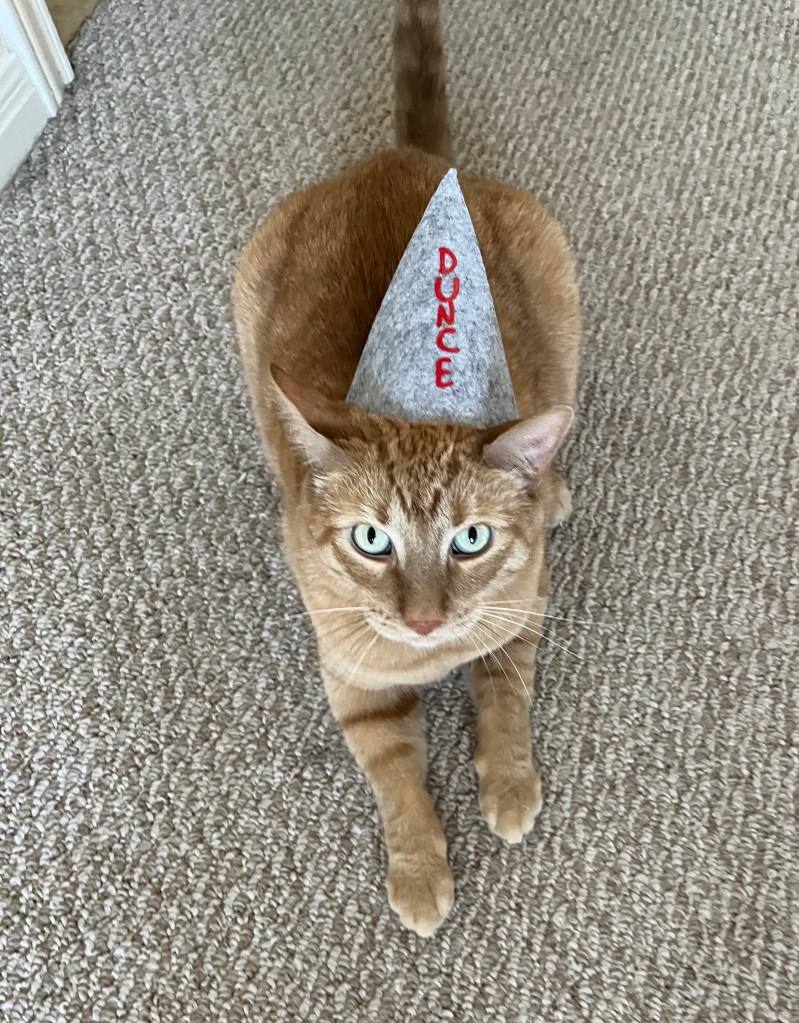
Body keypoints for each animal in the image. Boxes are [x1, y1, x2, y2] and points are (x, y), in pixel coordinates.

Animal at [232, 0, 581, 936]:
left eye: (470, 539)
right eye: (369, 539)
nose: (423, 620)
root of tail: (405, 158)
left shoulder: (523, 607)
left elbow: (503, 694)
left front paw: (507, 781)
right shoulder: (356, 683)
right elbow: (397, 785)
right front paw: (420, 868)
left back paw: (555, 484)